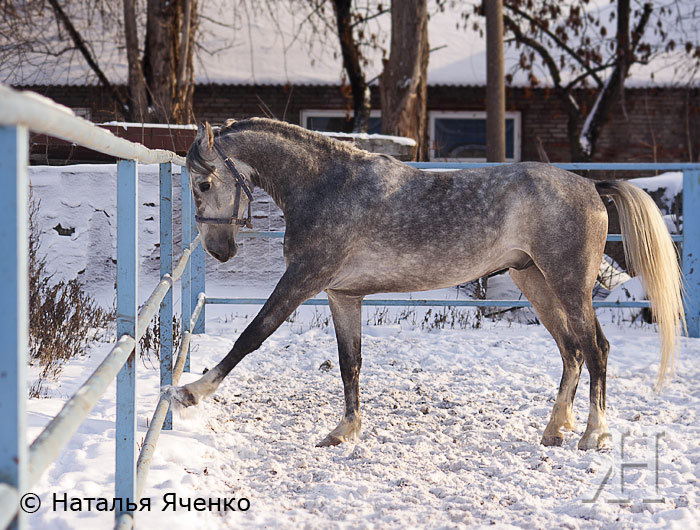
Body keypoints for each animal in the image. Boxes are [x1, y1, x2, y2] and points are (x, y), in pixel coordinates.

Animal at [170, 118, 684, 450]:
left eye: (202, 184)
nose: (219, 250)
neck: (326, 187)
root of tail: (592, 187)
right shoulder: (342, 295)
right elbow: (350, 364)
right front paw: (344, 432)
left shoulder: (302, 281)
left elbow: (252, 336)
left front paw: (189, 393)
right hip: (535, 281)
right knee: (572, 351)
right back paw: (555, 431)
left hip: (567, 283)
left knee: (596, 349)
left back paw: (593, 435)